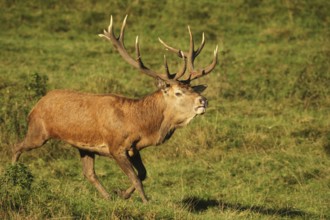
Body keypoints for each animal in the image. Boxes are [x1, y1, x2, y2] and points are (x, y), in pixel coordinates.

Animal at [12, 15, 218, 203]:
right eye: (178, 92)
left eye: (193, 89)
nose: (203, 100)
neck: (140, 124)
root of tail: (36, 104)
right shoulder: (116, 146)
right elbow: (136, 177)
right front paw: (145, 202)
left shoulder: (134, 148)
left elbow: (143, 173)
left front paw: (121, 193)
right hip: (38, 131)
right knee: (17, 146)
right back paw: (12, 176)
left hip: (83, 146)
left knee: (88, 172)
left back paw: (108, 197)